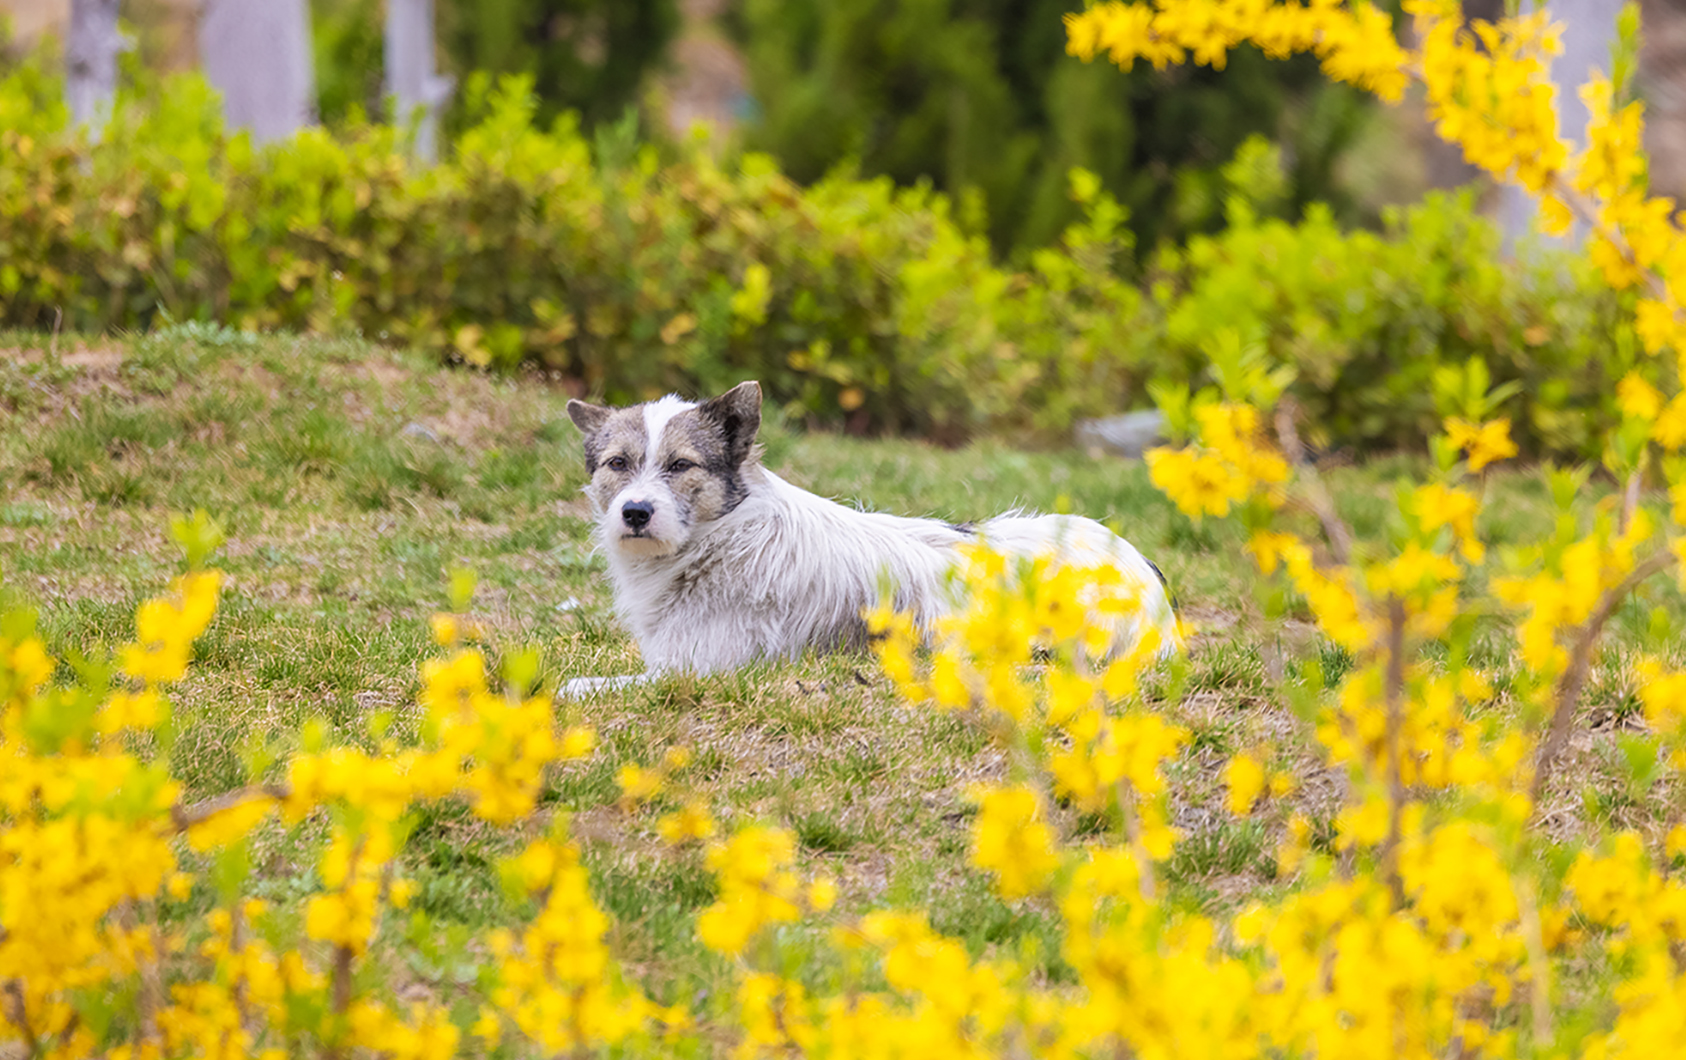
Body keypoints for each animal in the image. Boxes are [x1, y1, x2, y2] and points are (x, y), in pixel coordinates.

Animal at [559, 380, 1180, 694]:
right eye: (618, 463)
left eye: (681, 465)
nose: (635, 513)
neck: (724, 536)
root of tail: (1145, 574)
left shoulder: (695, 670)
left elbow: (580, 686)